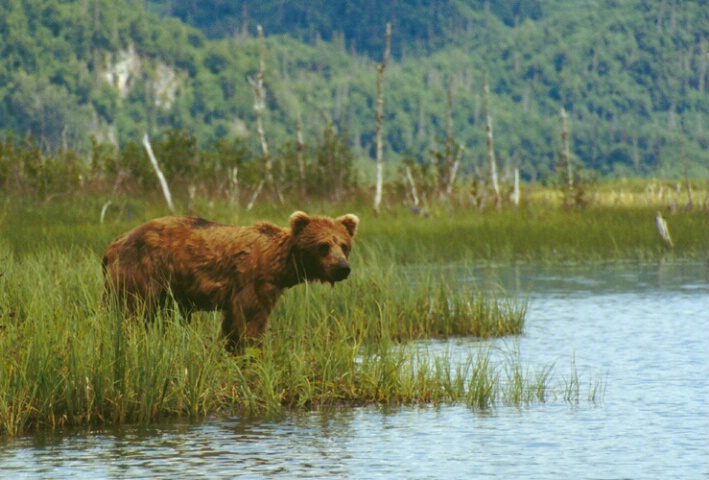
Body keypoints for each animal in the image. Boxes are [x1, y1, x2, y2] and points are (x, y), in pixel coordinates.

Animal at [103, 210, 360, 348]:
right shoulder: (254, 281)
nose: (342, 268)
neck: (280, 265)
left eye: (344, 245)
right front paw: (252, 351)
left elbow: (232, 324)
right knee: (134, 311)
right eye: (323, 246)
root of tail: (113, 244)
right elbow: (249, 320)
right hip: (143, 271)